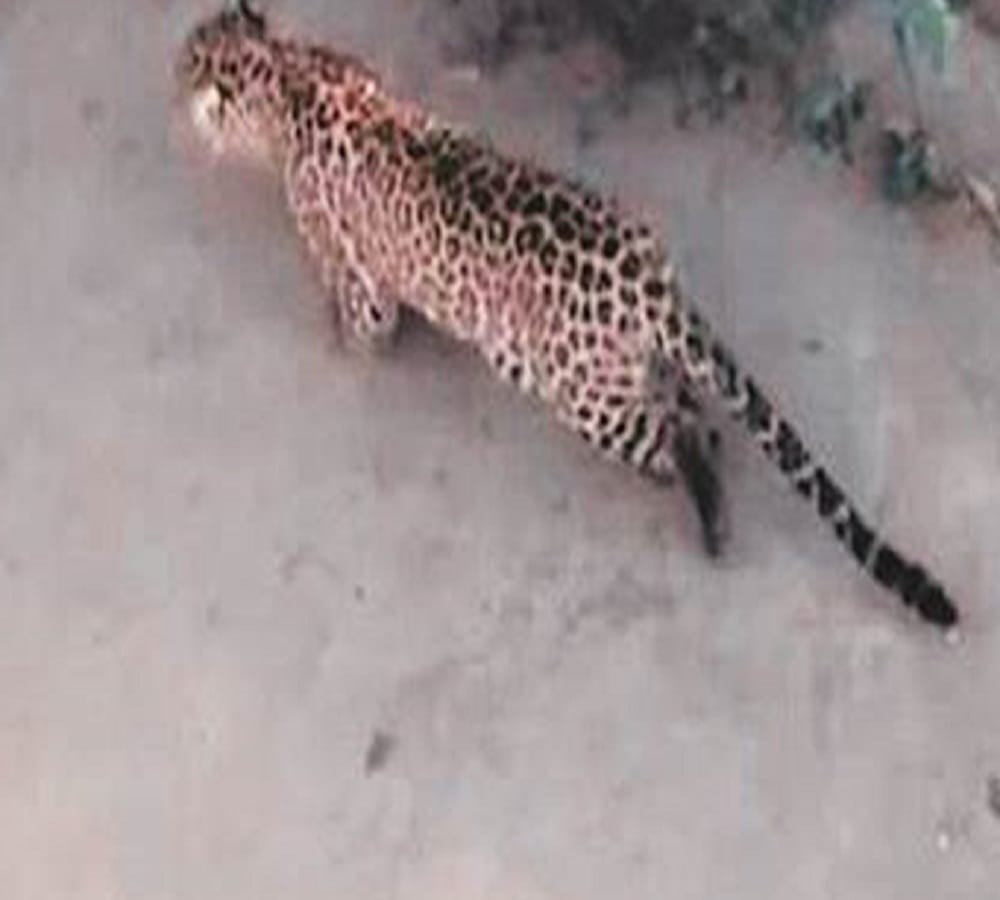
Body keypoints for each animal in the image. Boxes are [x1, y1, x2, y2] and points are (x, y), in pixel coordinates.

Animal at [174, 1, 959, 629]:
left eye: (185, 65)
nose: (171, 81)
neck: (283, 72)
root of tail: (649, 277)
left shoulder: (354, 269)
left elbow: (363, 318)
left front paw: (338, 338)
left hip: (575, 391)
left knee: (677, 434)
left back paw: (707, 514)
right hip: (612, 365)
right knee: (690, 400)